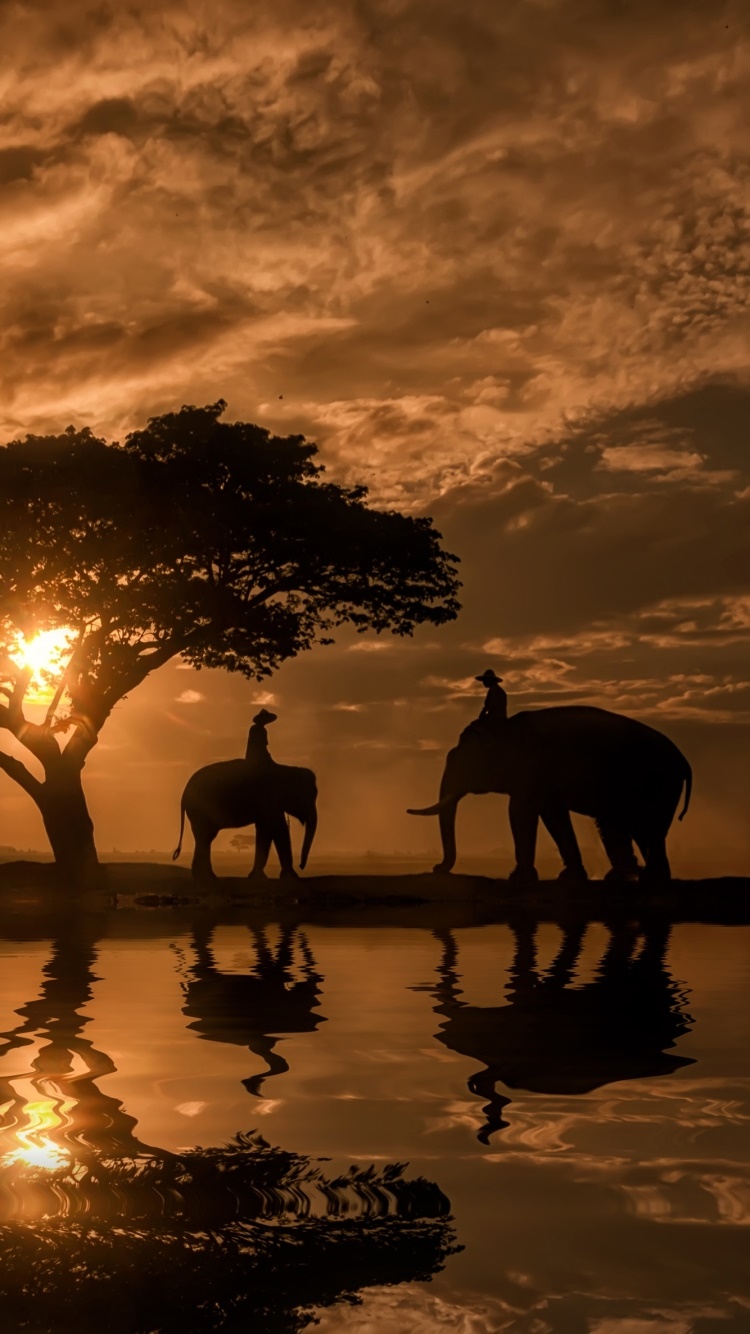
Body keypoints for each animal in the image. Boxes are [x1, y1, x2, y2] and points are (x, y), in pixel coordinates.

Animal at [173, 759, 317, 880]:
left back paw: (206, 876)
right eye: (309, 796)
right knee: (205, 837)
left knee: (205, 839)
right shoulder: (268, 799)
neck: (285, 768)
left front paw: (259, 877)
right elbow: (277, 829)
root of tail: (184, 794)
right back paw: (206, 877)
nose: (301, 866)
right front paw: (290, 877)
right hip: (200, 811)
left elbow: (268, 830)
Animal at [408, 705, 692, 883]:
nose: (437, 869)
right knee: (627, 826)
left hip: (659, 783)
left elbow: (520, 811)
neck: (505, 729)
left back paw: (647, 877)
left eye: (464, 764)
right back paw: (633, 876)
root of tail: (683, 761)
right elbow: (553, 815)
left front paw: (517, 878)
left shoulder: (531, 770)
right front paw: (569, 878)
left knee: (647, 827)